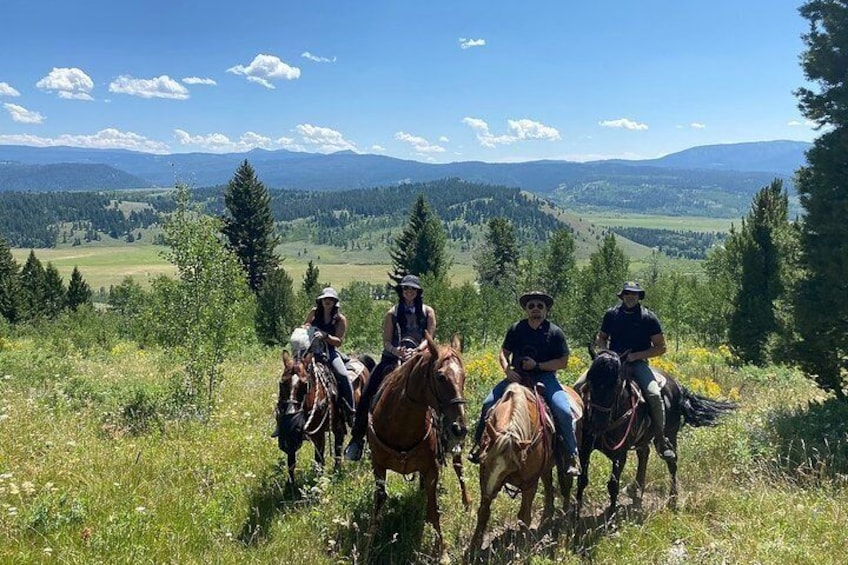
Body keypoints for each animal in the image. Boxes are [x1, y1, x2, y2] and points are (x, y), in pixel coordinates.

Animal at [276, 328, 372, 482]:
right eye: (282, 383)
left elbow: (319, 461)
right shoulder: (290, 435)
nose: (291, 415)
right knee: (338, 445)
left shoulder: (318, 434)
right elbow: (291, 461)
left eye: (305, 385)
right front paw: (289, 485)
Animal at [364, 330, 470, 560]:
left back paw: (467, 503)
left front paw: (443, 552)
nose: (459, 428)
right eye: (440, 377)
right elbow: (378, 505)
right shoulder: (378, 467)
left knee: (459, 469)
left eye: (464, 377)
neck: (400, 424)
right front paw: (368, 545)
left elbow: (433, 509)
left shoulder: (432, 469)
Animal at [470, 378, 584, 552]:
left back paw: (564, 517)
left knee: (566, 487)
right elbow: (483, 511)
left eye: (510, 467)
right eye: (485, 460)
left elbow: (524, 517)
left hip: (564, 463)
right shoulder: (484, 476)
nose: (490, 492)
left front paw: (522, 547)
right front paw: (474, 545)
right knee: (549, 484)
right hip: (546, 466)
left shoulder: (530, 483)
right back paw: (547, 515)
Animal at [576, 346, 736, 516]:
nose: (598, 423)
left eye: (617, 383)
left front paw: (611, 515)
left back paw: (672, 499)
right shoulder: (585, 448)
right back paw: (636, 488)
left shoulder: (621, 453)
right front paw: (576, 513)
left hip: (670, 434)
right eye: (590, 380)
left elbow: (613, 484)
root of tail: (678, 386)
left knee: (672, 463)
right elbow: (582, 480)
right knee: (644, 454)